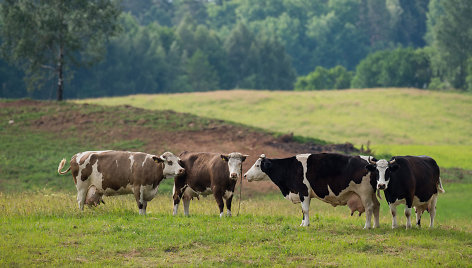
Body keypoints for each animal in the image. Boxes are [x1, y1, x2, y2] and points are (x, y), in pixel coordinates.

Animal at [243, 153, 380, 228]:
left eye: (257, 165)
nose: (244, 175)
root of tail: (371, 160)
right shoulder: (303, 193)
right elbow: (303, 211)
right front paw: (302, 223)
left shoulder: (303, 191)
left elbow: (305, 209)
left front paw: (306, 225)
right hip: (372, 193)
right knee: (376, 206)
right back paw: (375, 225)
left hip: (365, 193)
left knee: (369, 207)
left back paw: (367, 226)